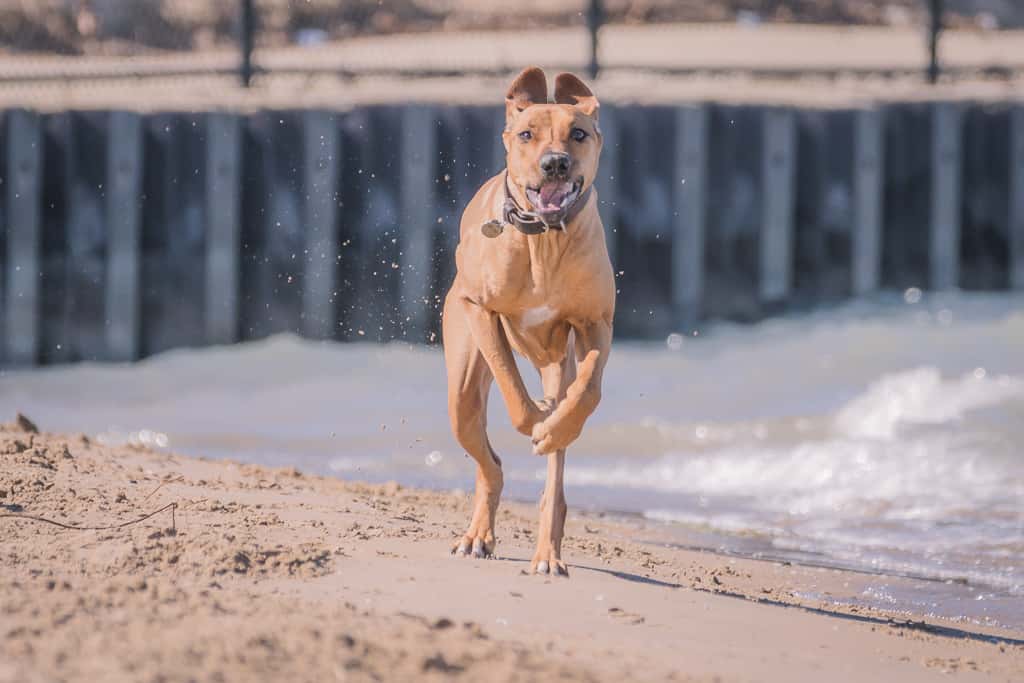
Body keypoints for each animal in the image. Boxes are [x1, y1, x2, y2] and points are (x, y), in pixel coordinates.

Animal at [442, 66, 614, 573]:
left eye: (578, 134)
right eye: (526, 135)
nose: (555, 163)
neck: (545, 238)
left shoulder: (596, 323)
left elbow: (589, 390)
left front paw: (554, 423)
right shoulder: (480, 310)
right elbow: (508, 379)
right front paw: (535, 416)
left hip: (559, 359)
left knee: (553, 480)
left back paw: (548, 554)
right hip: (461, 390)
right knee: (490, 463)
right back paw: (478, 535)